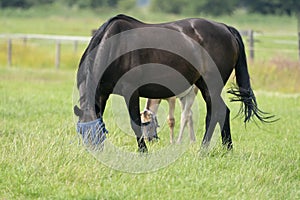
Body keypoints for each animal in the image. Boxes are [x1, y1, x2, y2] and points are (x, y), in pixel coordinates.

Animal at [73, 13, 272, 152]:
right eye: (81, 132)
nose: (94, 152)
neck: (115, 46)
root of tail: (225, 28)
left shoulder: (132, 92)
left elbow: (135, 122)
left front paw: (143, 151)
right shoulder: (103, 93)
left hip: (211, 86)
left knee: (216, 112)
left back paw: (204, 150)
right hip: (204, 85)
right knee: (222, 112)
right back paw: (227, 148)